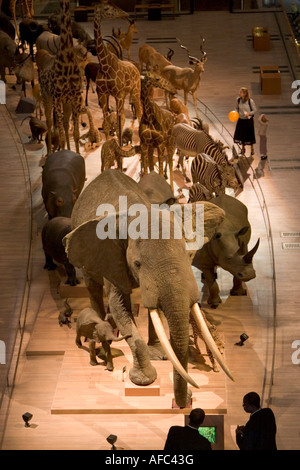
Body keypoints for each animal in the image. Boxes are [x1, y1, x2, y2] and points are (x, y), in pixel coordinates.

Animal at [36, 0, 83, 154]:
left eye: (53, 20)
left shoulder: (76, 97)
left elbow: (76, 133)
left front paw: (77, 155)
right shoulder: (57, 97)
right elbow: (61, 136)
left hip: (66, 101)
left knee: (65, 122)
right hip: (47, 97)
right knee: (50, 122)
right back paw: (50, 153)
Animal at [62, 169, 232, 408]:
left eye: (189, 255)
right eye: (137, 264)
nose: (188, 399)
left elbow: (154, 307)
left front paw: (159, 355)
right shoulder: (112, 256)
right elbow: (119, 305)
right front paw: (143, 380)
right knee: (93, 287)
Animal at [94, 0, 143, 141]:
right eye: (106, 8)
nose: (125, 13)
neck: (105, 65)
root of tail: (136, 68)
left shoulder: (118, 95)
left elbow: (120, 120)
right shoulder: (102, 94)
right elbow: (106, 123)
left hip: (135, 91)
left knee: (139, 112)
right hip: (126, 93)